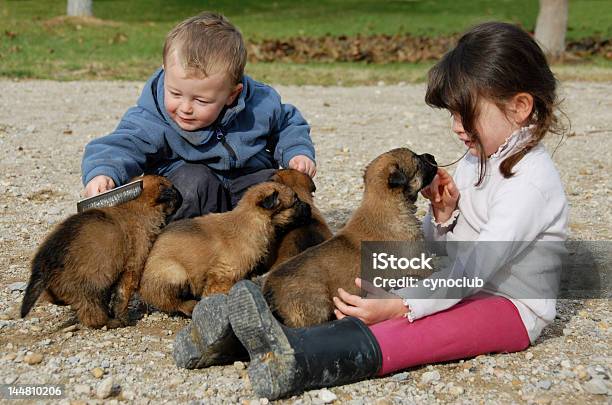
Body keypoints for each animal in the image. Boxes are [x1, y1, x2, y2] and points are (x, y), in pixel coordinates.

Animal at [19, 175, 182, 326]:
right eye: (172, 188)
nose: (180, 195)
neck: (136, 205)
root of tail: (46, 259)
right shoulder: (133, 265)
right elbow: (122, 295)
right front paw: (124, 318)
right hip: (91, 282)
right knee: (91, 312)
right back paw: (110, 322)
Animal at [138, 181, 310, 316]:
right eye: (295, 201)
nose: (308, 206)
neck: (249, 221)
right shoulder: (222, 274)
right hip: (174, 272)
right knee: (168, 301)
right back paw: (189, 306)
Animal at [262, 147, 436, 326]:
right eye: (418, 160)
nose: (431, 156)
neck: (387, 204)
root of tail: (269, 292)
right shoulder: (419, 266)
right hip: (316, 305)